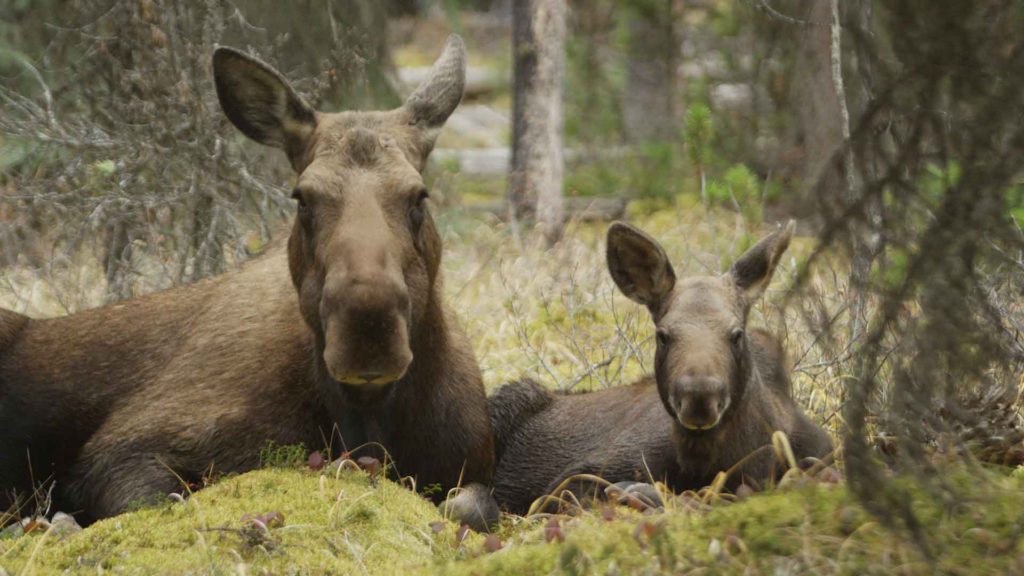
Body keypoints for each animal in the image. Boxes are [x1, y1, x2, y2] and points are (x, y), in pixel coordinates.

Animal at [0, 34, 495, 528]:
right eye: (303, 199)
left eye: (419, 197)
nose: (368, 330)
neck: (371, 418)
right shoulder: (120, 450)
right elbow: (166, 502)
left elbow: (472, 505)